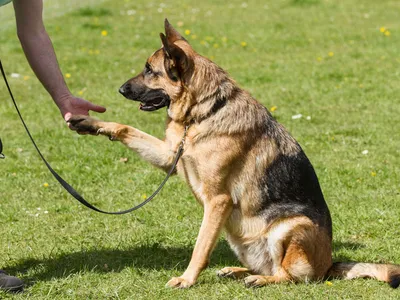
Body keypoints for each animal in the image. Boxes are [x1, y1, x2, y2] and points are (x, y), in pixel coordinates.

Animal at [69, 19, 400, 290]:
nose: (120, 89)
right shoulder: (170, 156)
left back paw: (259, 280)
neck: (204, 112)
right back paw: (237, 271)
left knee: (290, 276)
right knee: (269, 266)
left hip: (290, 227)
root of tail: (329, 265)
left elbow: (200, 246)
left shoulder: (218, 201)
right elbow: (126, 128)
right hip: (238, 235)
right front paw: (90, 123)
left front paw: (187, 279)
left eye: (150, 70)